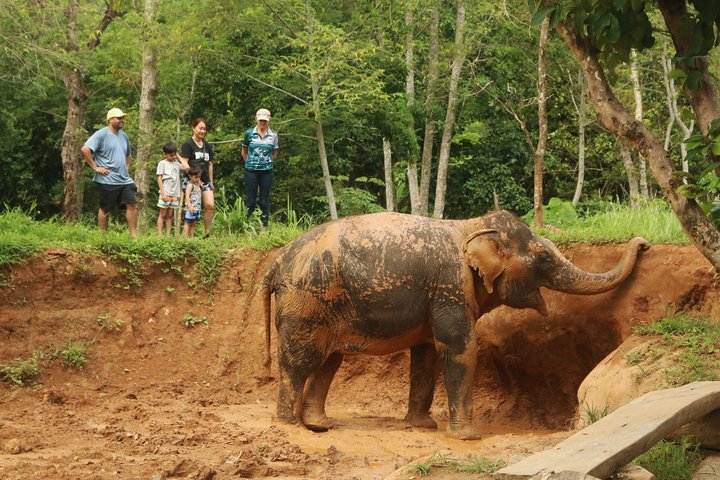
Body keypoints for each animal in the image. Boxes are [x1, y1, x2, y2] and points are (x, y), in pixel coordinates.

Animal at [259, 210, 648, 439]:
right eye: (543, 257)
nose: (643, 242)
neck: (472, 226)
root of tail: (276, 260)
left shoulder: (438, 294)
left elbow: (427, 353)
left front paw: (423, 426)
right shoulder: (452, 284)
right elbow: (459, 348)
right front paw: (468, 436)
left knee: (328, 361)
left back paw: (319, 425)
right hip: (305, 299)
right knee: (301, 360)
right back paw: (289, 424)